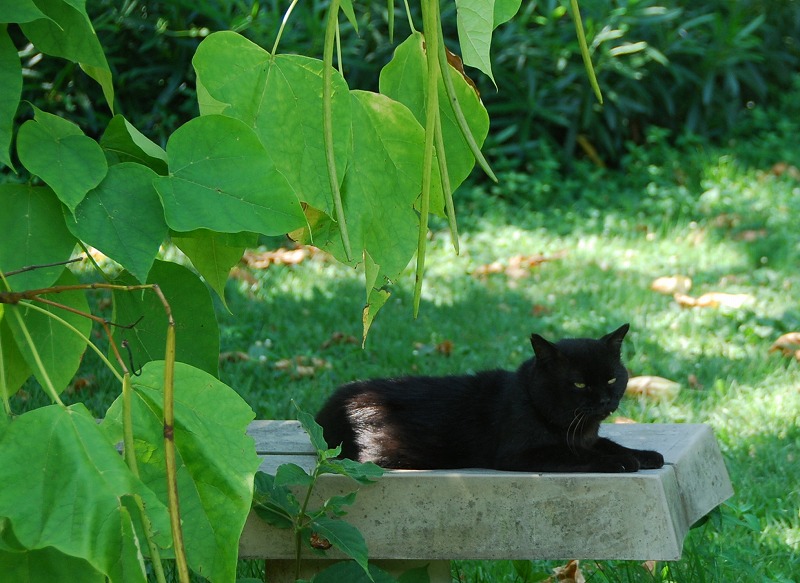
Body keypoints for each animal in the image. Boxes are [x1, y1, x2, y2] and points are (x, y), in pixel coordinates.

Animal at [316, 326, 664, 472]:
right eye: (579, 383)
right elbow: (578, 455)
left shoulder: (589, 437)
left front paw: (645, 455)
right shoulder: (519, 455)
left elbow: (609, 444)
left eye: (612, 379)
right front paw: (622, 462)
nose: (606, 399)